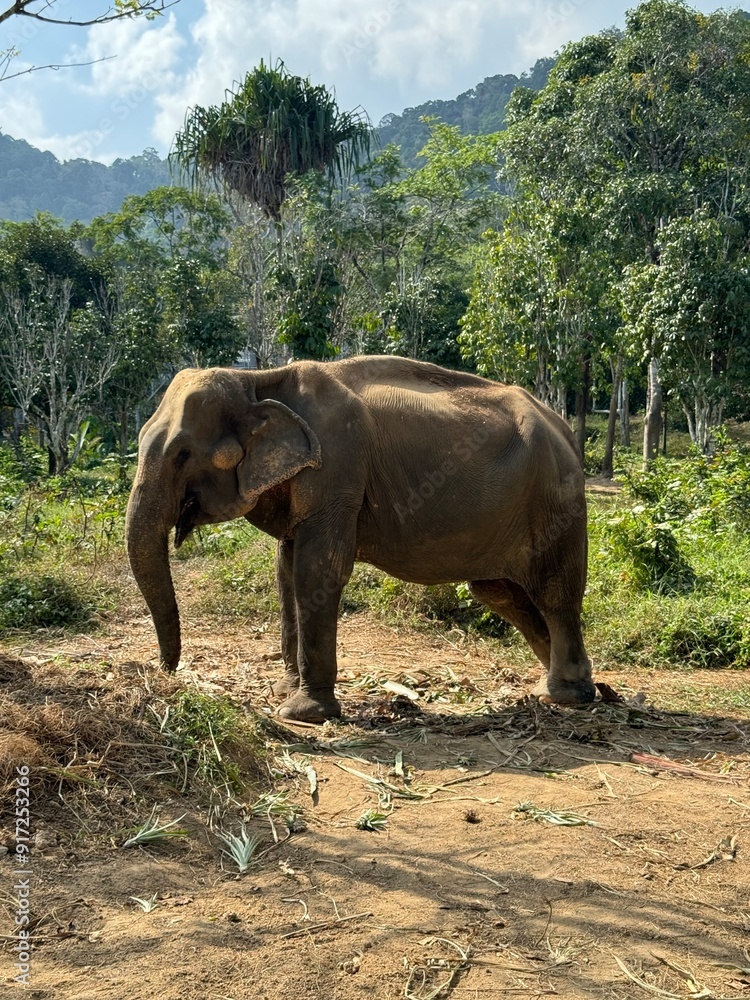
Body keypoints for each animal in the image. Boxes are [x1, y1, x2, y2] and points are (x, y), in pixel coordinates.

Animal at [126, 355, 595, 722]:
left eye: (183, 453)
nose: (165, 672)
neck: (258, 381)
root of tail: (564, 429)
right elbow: (285, 572)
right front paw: (284, 691)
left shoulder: (337, 471)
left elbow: (317, 570)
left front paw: (302, 713)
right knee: (500, 594)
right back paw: (571, 685)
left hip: (556, 501)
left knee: (554, 591)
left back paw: (564, 695)